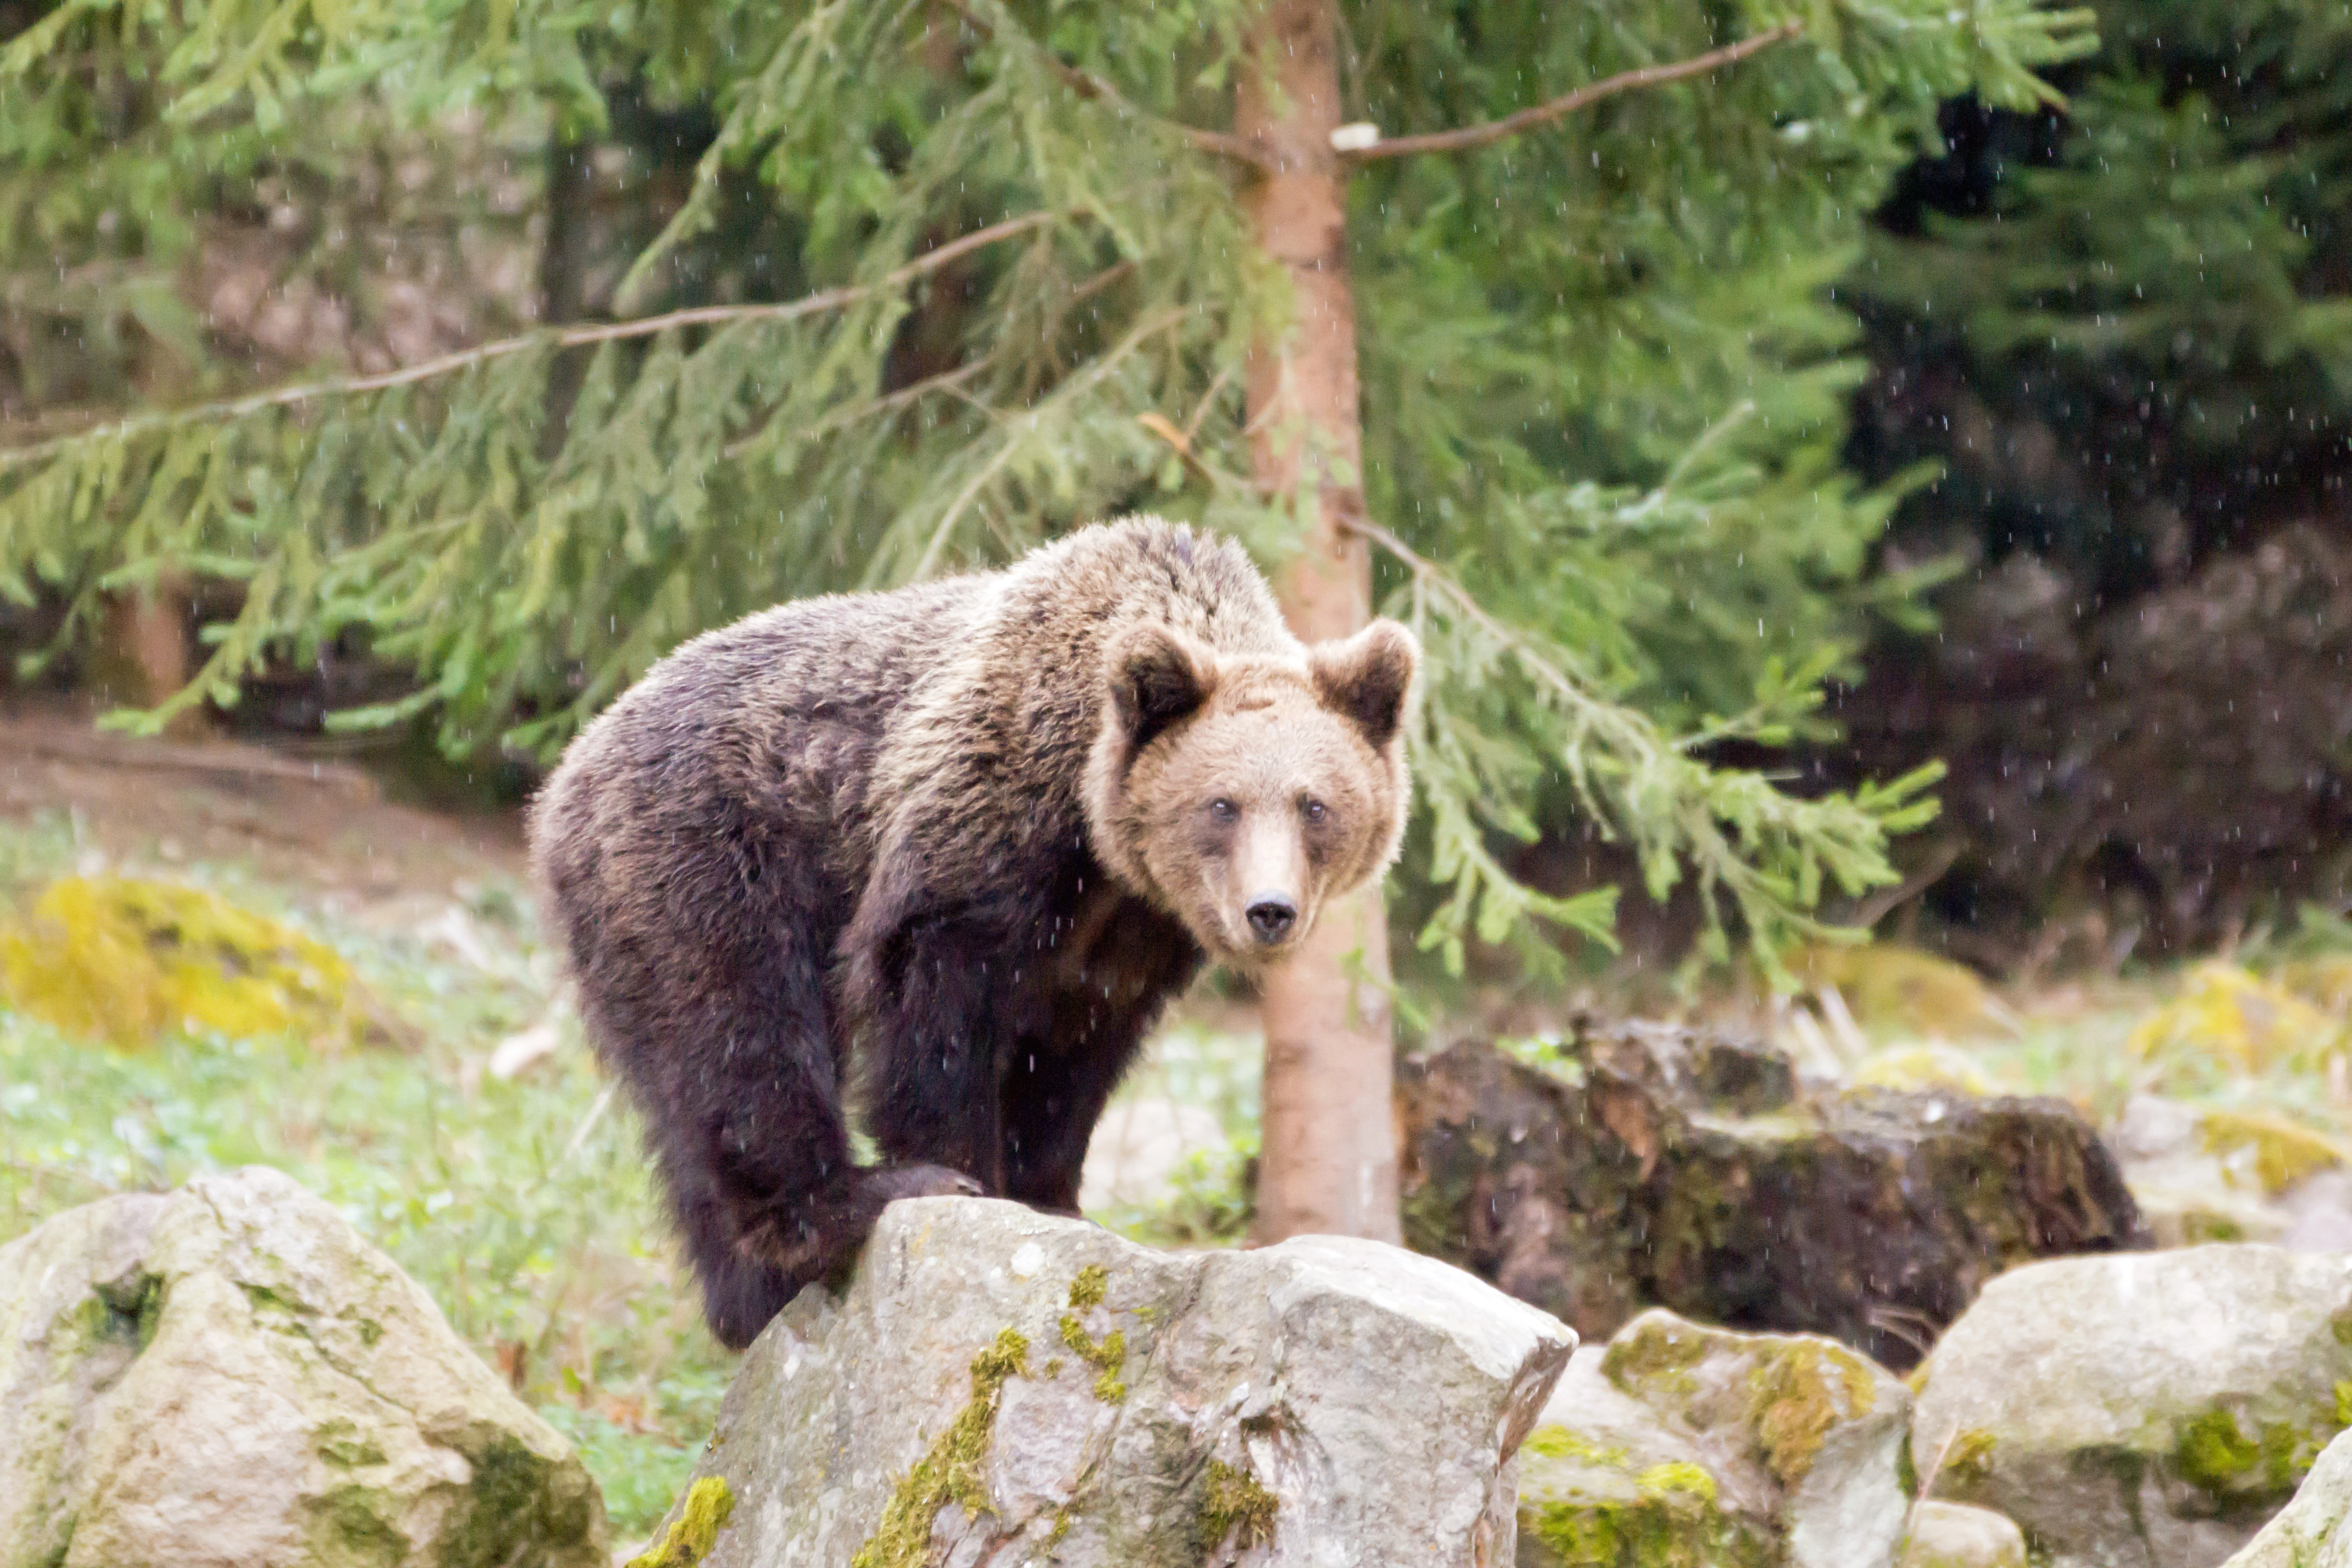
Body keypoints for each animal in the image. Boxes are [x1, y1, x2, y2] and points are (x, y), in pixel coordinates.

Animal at [528, 517, 1418, 1349]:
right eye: (1222, 804)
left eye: (1315, 805)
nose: (1269, 910)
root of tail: (569, 769)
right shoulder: (980, 833)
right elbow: (939, 1015)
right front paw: (956, 1177)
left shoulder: (1134, 936)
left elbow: (1074, 1059)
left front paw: (1055, 1197)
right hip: (709, 863)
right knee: (744, 1035)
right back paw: (837, 1209)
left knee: (686, 1108)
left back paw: (747, 1298)